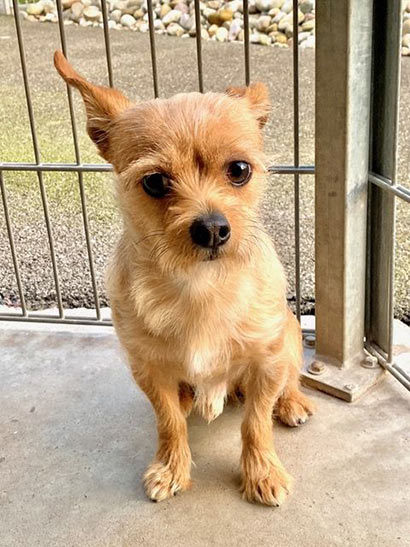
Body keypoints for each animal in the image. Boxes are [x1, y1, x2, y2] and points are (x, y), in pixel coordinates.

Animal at [54, 50, 315, 506]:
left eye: (239, 170)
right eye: (155, 181)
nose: (211, 228)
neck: (200, 285)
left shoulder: (266, 362)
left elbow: (256, 423)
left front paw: (262, 471)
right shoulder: (149, 371)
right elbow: (169, 421)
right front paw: (171, 468)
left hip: (290, 335)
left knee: (288, 380)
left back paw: (291, 402)